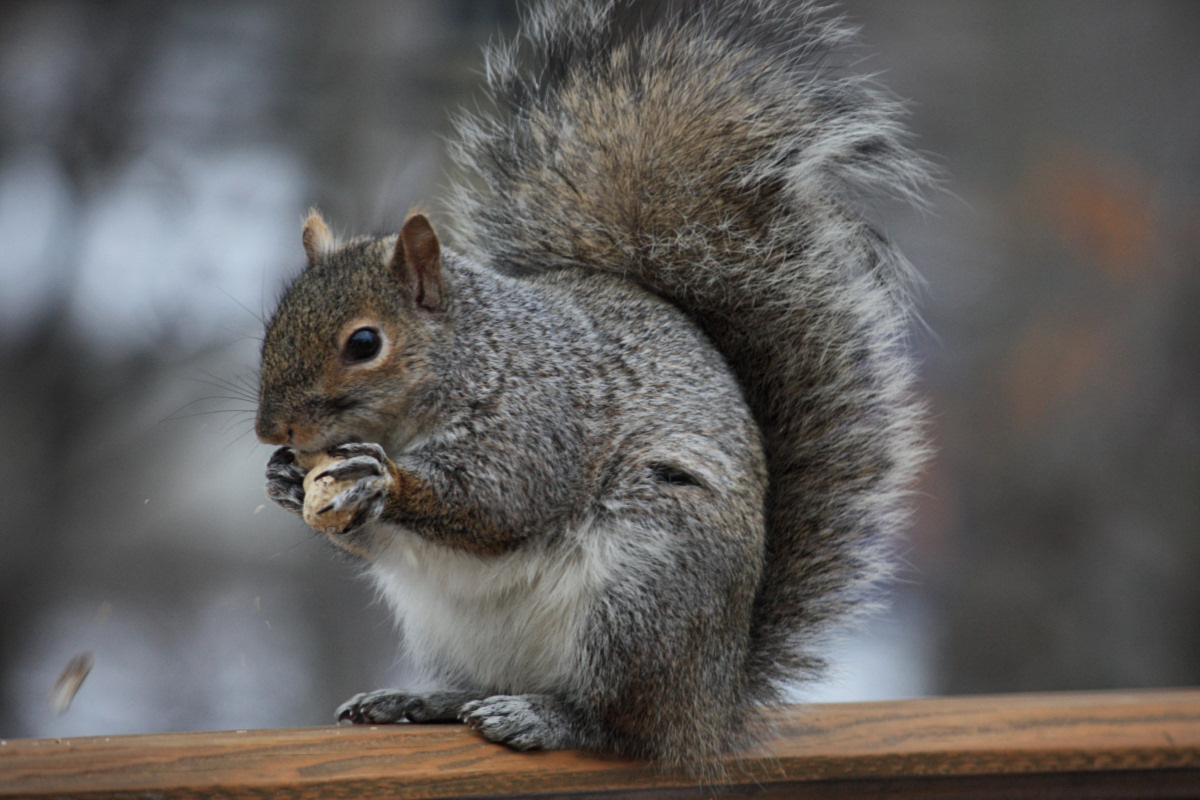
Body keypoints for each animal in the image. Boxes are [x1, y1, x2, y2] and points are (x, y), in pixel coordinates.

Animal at [253, 0, 926, 772]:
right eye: (274, 320)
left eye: (364, 344)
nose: (271, 431)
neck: (472, 358)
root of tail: (713, 706)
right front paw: (284, 480)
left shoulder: (542, 417)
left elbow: (500, 504)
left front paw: (383, 478)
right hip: (458, 629)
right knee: (491, 688)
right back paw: (420, 701)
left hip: (644, 594)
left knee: (621, 725)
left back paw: (544, 718)